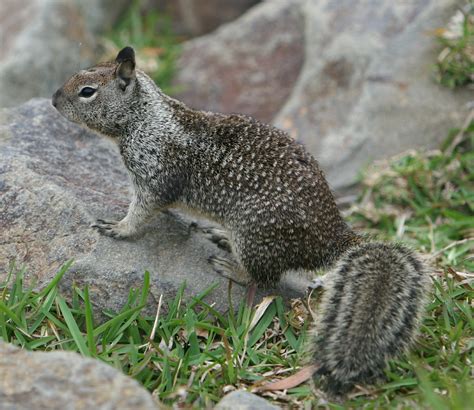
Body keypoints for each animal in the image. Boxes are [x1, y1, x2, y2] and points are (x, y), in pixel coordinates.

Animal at [53, 47, 432, 398]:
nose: (54, 100)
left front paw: (117, 227)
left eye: (87, 91)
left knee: (265, 279)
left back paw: (230, 266)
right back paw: (219, 237)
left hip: (254, 235)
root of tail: (332, 237)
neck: (145, 118)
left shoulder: (155, 176)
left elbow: (142, 211)